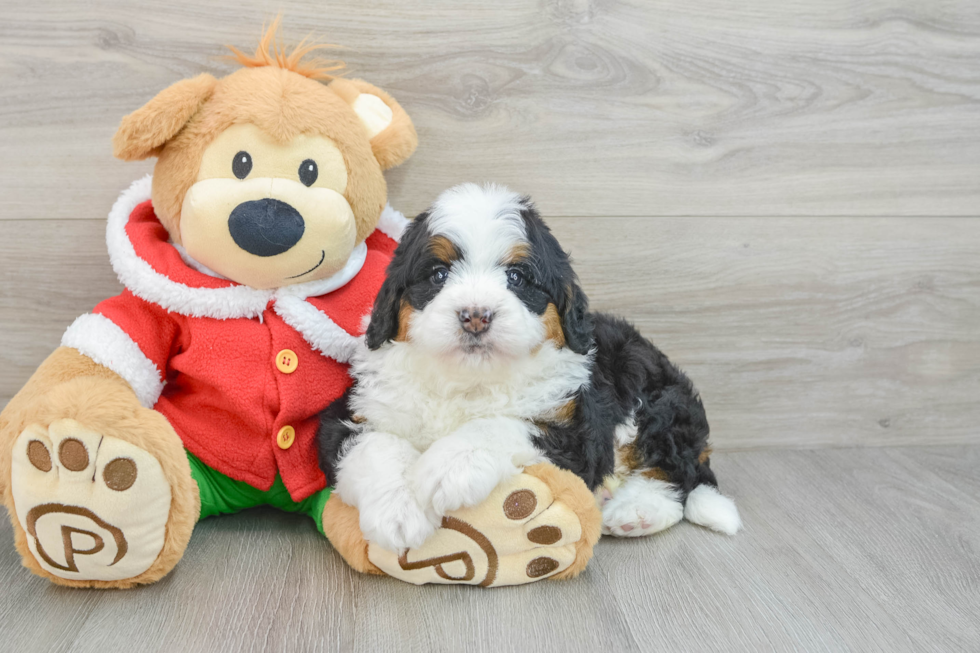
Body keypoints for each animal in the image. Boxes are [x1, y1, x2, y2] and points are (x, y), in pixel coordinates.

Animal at [318, 183, 740, 552]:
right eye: (438, 274)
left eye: (517, 277)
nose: (476, 316)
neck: (467, 380)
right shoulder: (352, 413)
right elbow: (375, 444)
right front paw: (399, 509)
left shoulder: (577, 433)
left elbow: (503, 425)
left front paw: (450, 465)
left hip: (654, 392)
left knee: (678, 471)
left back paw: (635, 511)